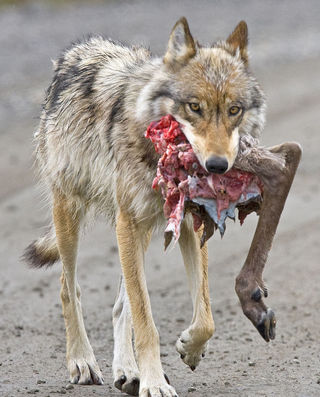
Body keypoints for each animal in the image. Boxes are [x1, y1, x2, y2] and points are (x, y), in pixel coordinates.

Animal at [23, 18, 268, 396]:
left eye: (234, 110)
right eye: (194, 107)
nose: (217, 166)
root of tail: (77, 50)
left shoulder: (188, 224)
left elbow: (205, 316)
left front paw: (188, 349)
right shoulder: (129, 223)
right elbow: (146, 320)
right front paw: (155, 383)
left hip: (139, 232)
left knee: (119, 305)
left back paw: (127, 370)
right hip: (73, 216)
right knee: (69, 288)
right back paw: (82, 361)